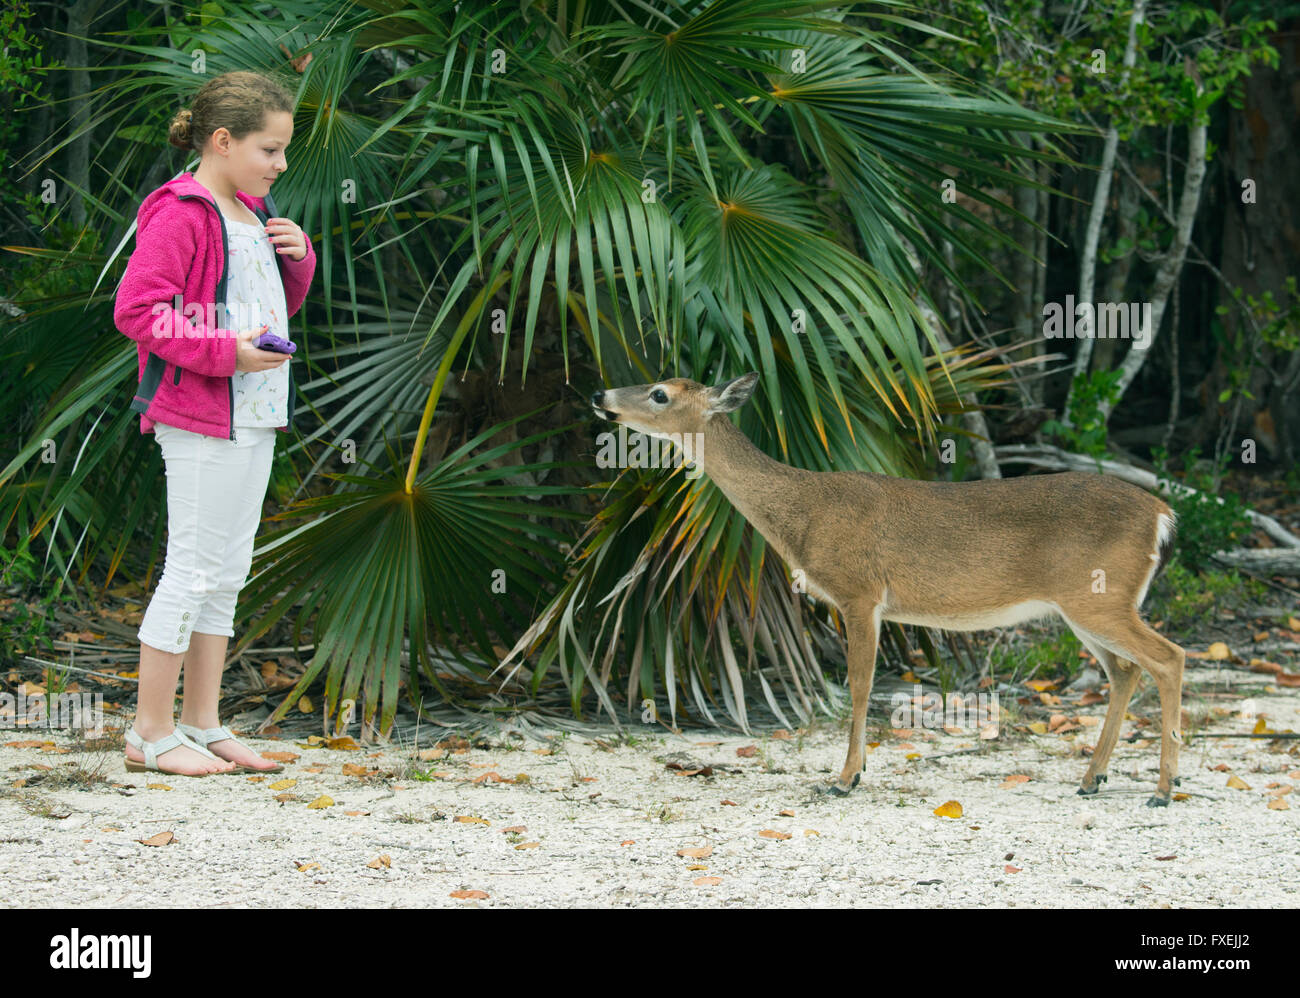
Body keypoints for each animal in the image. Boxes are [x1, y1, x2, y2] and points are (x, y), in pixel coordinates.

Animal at [591, 372, 1186, 807]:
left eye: (660, 393)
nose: (599, 396)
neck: (804, 515)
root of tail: (1162, 513)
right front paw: (852, 772)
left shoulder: (859, 593)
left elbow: (858, 687)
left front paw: (845, 778)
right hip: (1082, 606)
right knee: (1125, 670)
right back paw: (1093, 779)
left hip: (1099, 596)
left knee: (1169, 657)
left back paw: (1162, 789)